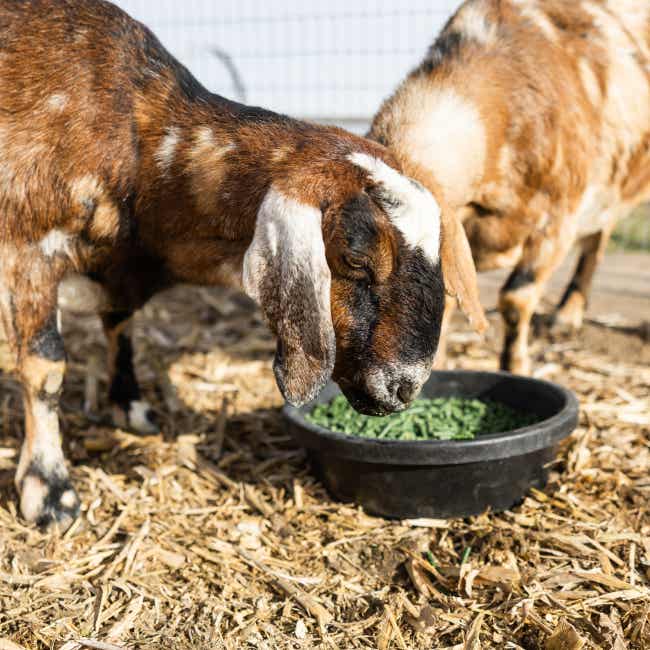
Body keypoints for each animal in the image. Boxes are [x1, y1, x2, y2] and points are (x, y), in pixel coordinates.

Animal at [0, 0, 485, 528]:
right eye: (357, 257)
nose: (406, 387)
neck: (140, 149)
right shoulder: (30, 249)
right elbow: (46, 367)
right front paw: (49, 492)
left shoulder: (119, 270)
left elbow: (121, 327)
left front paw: (129, 406)